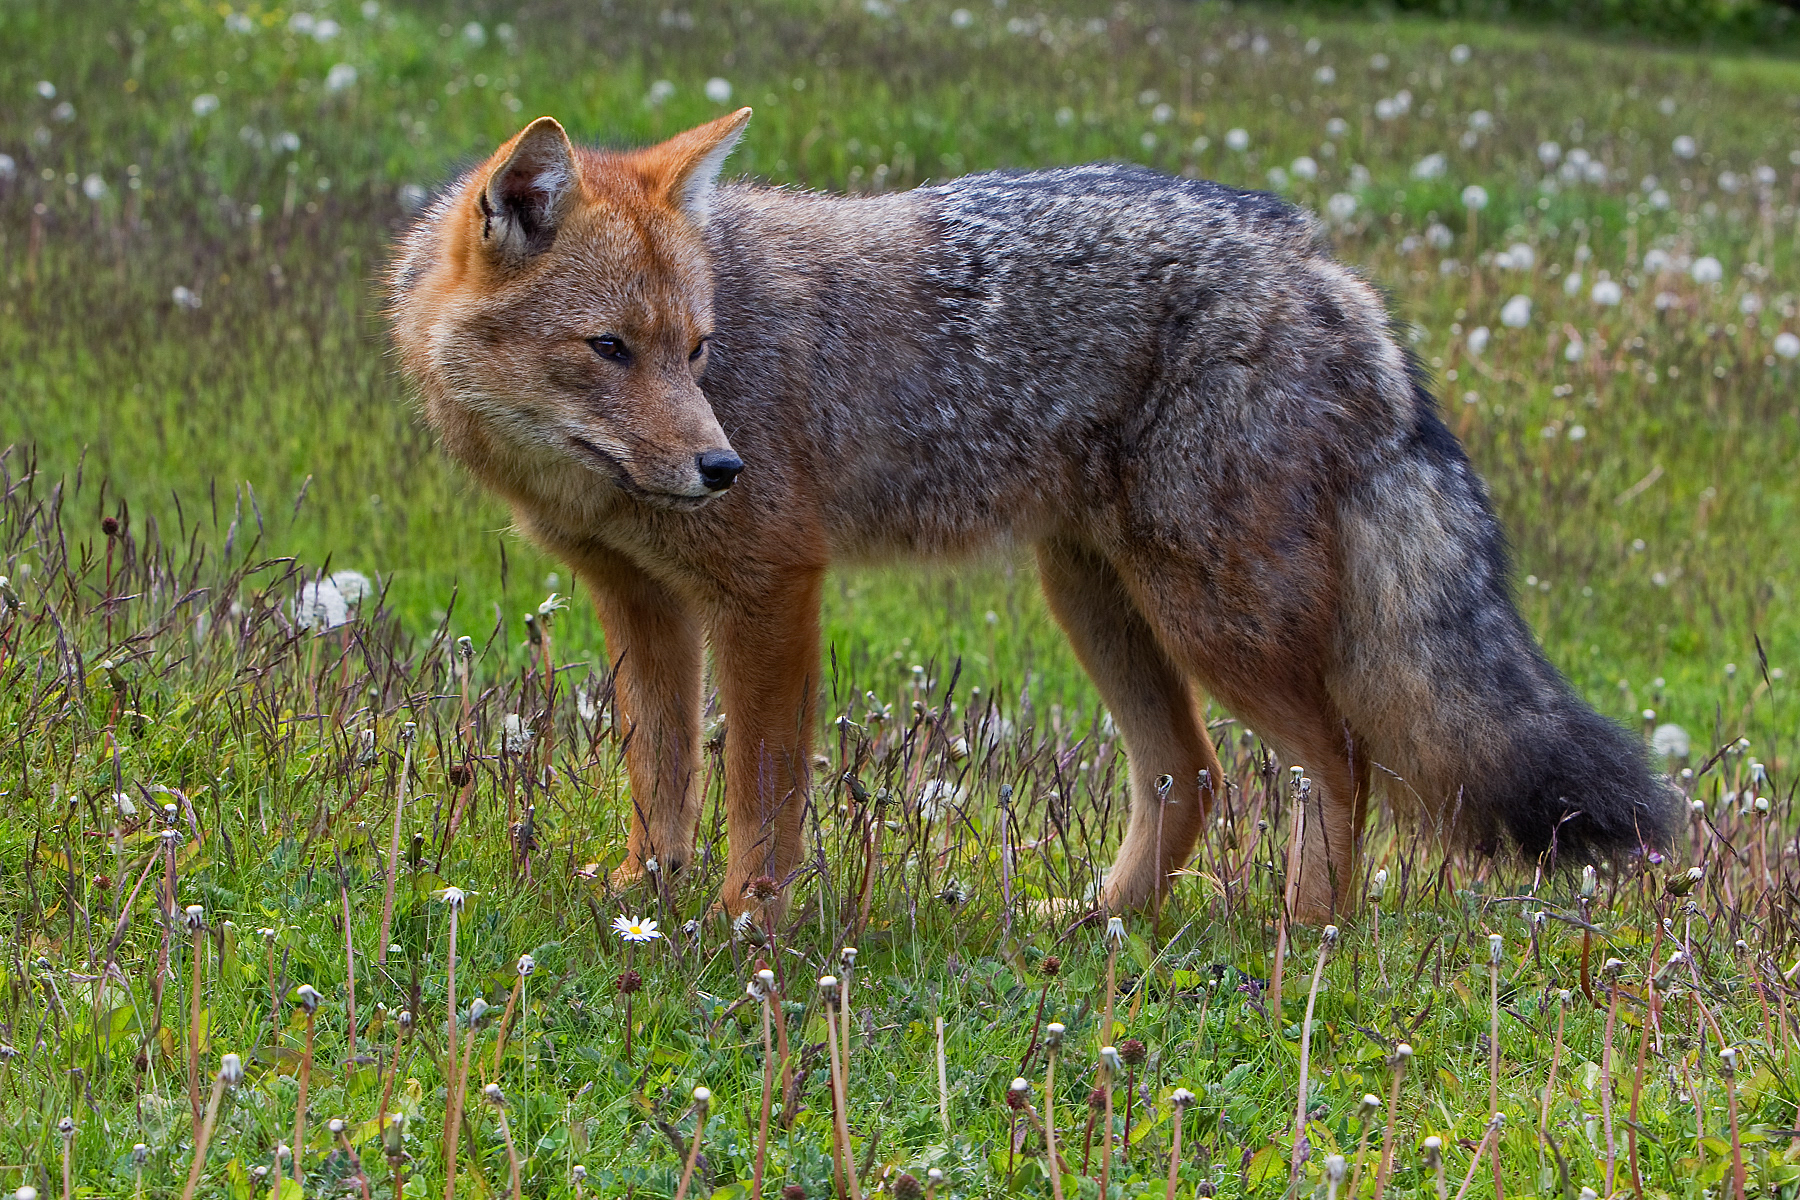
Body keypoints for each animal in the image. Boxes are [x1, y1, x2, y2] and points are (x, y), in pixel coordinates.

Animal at [389, 109, 1677, 925]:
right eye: (611, 349)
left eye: (699, 350)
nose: (721, 467)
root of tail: (1319, 263)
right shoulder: (644, 608)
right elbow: (662, 777)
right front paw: (647, 901)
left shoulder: (770, 591)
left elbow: (761, 791)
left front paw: (749, 924)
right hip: (1100, 601)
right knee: (1194, 776)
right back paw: (1101, 920)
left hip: (1212, 617)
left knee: (1342, 765)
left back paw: (1304, 938)